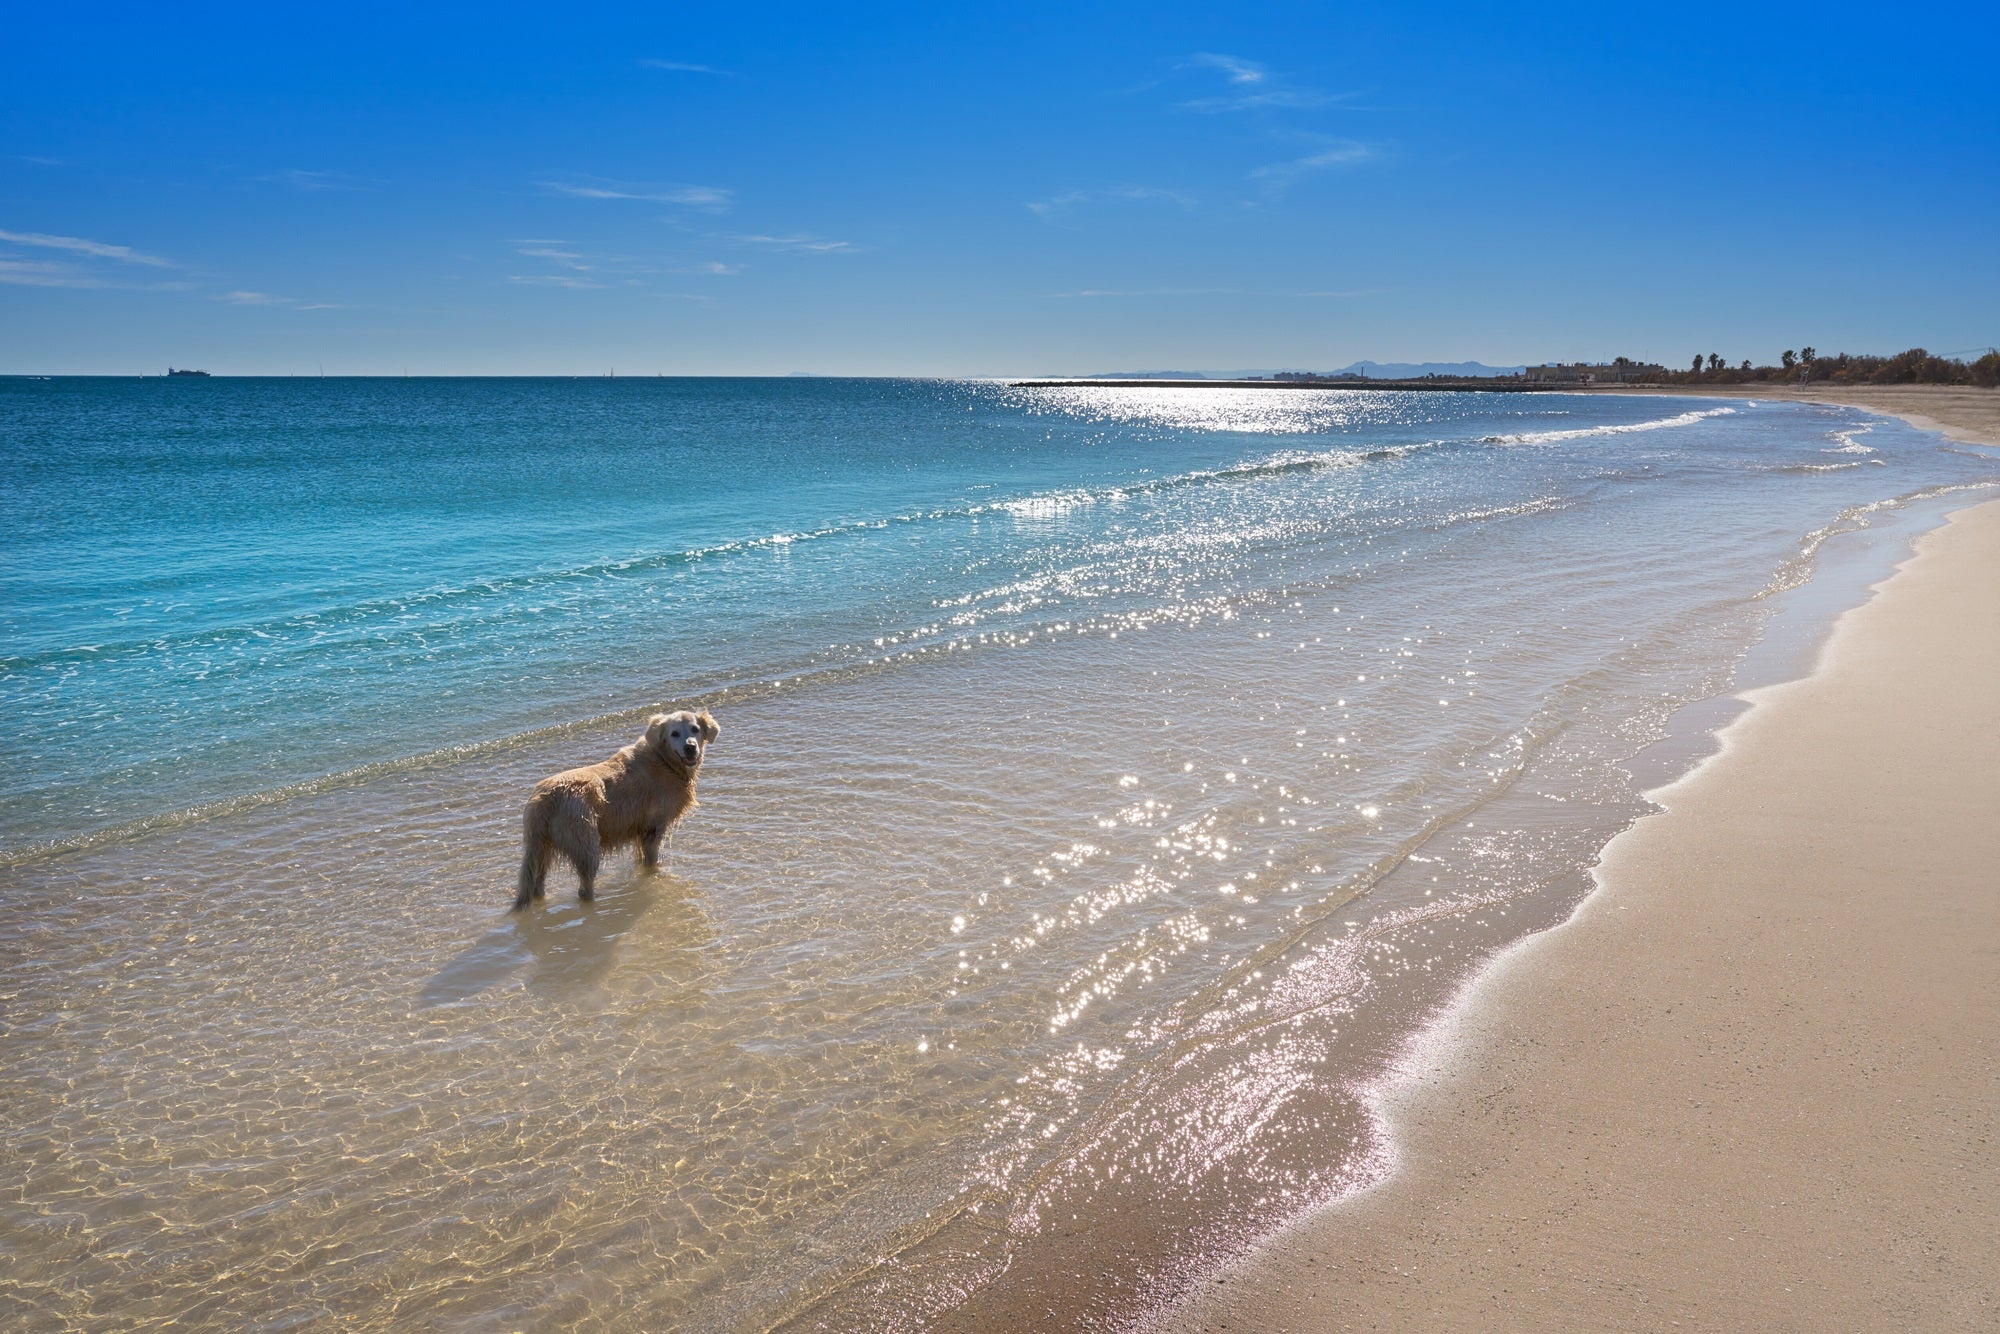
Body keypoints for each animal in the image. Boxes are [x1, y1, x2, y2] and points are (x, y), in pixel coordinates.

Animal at [516, 708, 720, 908]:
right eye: (674, 733)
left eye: (695, 729)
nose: (690, 747)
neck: (665, 761)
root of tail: (543, 799)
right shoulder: (654, 827)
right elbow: (651, 858)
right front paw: (653, 872)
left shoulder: (640, 829)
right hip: (585, 843)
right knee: (584, 886)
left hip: (542, 846)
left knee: (538, 882)